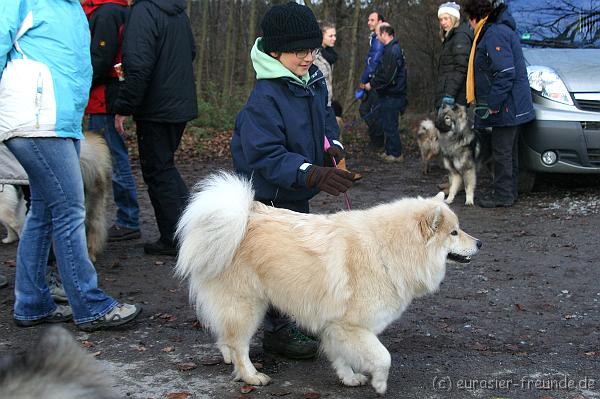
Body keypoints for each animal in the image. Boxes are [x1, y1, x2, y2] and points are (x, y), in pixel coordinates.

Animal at [175, 173, 482, 396]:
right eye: (454, 233)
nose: (480, 243)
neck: (388, 249)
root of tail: (239, 216)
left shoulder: (336, 326)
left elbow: (342, 357)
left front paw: (350, 378)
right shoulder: (353, 325)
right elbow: (383, 357)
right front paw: (380, 384)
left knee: (225, 336)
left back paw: (228, 358)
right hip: (248, 306)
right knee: (240, 345)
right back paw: (251, 375)